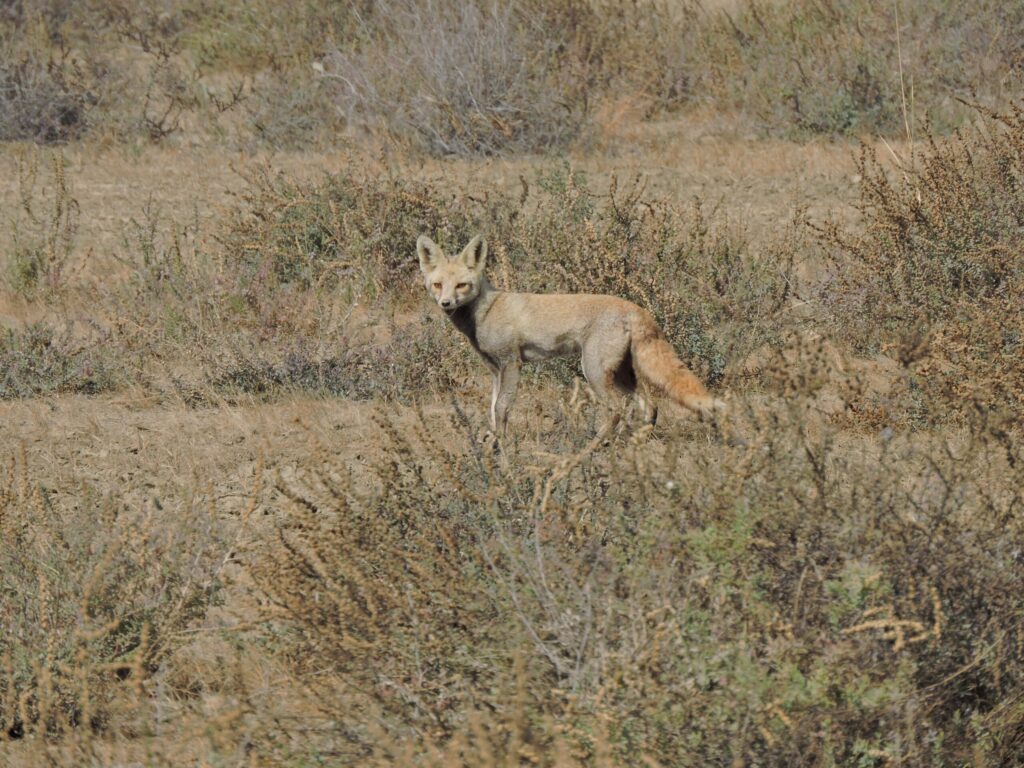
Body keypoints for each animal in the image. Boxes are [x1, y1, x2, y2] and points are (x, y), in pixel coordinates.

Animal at [417, 233, 725, 434]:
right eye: (438, 285)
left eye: (462, 285)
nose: (446, 304)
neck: (487, 310)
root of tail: (636, 309)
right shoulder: (495, 370)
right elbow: (492, 411)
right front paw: (493, 446)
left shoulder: (511, 364)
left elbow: (502, 409)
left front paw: (502, 451)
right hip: (622, 374)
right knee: (650, 407)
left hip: (593, 371)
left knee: (618, 409)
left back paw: (594, 447)